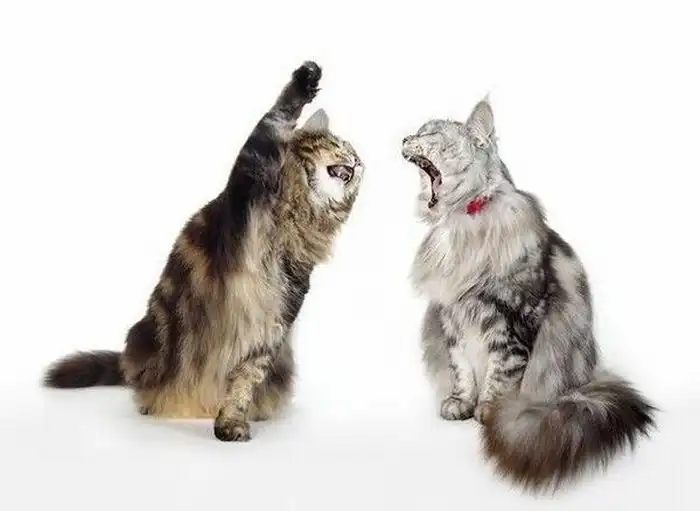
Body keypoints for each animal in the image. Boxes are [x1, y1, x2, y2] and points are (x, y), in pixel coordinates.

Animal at [44, 61, 364, 442]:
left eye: (354, 153)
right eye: (338, 144)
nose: (360, 162)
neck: (293, 220)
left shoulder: (273, 324)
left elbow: (244, 381)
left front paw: (230, 423)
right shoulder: (245, 186)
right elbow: (273, 119)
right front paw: (306, 79)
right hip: (142, 337)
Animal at [402, 98, 655, 491]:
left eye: (430, 135)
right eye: (418, 132)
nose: (404, 138)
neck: (462, 225)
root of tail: (586, 386)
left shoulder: (511, 319)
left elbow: (502, 373)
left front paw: (490, 411)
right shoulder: (453, 319)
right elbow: (462, 369)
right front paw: (461, 402)